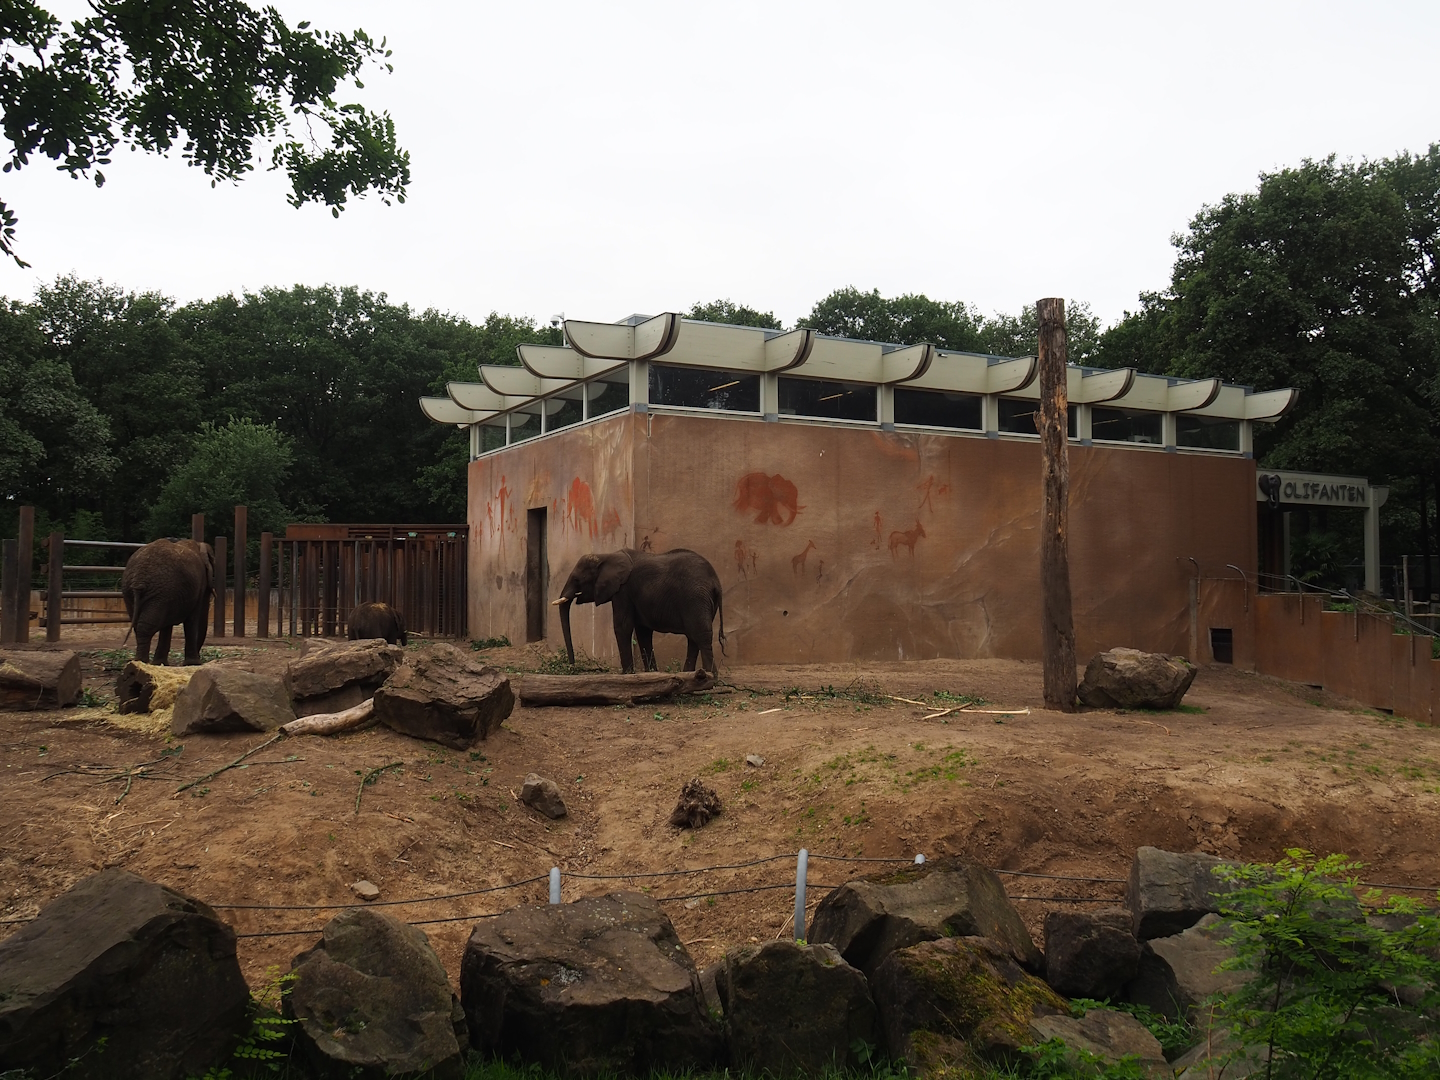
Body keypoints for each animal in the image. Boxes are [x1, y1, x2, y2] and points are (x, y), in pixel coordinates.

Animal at [553, 548, 726, 674]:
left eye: (577, 580)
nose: (572, 668)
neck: (606, 555)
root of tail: (716, 582)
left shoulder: (623, 591)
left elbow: (623, 627)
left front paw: (627, 674)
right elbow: (643, 632)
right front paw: (651, 673)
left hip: (696, 598)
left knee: (701, 635)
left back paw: (711, 677)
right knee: (693, 637)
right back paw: (689, 675)